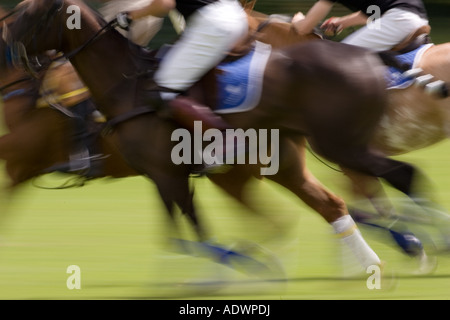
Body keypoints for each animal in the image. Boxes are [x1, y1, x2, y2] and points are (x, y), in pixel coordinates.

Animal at [3, 0, 432, 276]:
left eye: (28, 13)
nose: (5, 37)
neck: (126, 84)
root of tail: (367, 57)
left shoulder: (165, 174)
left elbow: (196, 235)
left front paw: (235, 269)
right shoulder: (159, 175)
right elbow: (180, 237)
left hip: (336, 144)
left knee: (397, 176)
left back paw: (418, 242)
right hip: (287, 164)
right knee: (331, 204)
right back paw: (382, 256)